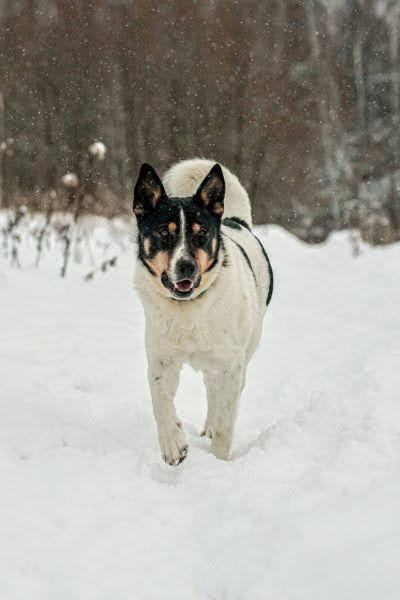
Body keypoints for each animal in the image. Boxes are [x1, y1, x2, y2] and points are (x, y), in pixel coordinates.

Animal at [133, 158, 274, 464]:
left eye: (201, 234)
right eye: (164, 232)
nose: (186, 266)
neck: (189, 308)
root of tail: (236, 221)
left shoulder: (231, 365)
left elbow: (225, 422)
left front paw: (219, 462)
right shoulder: (161, 359)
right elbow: (160, 400)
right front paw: (173, 444)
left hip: (244, 349)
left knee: (219, 395)